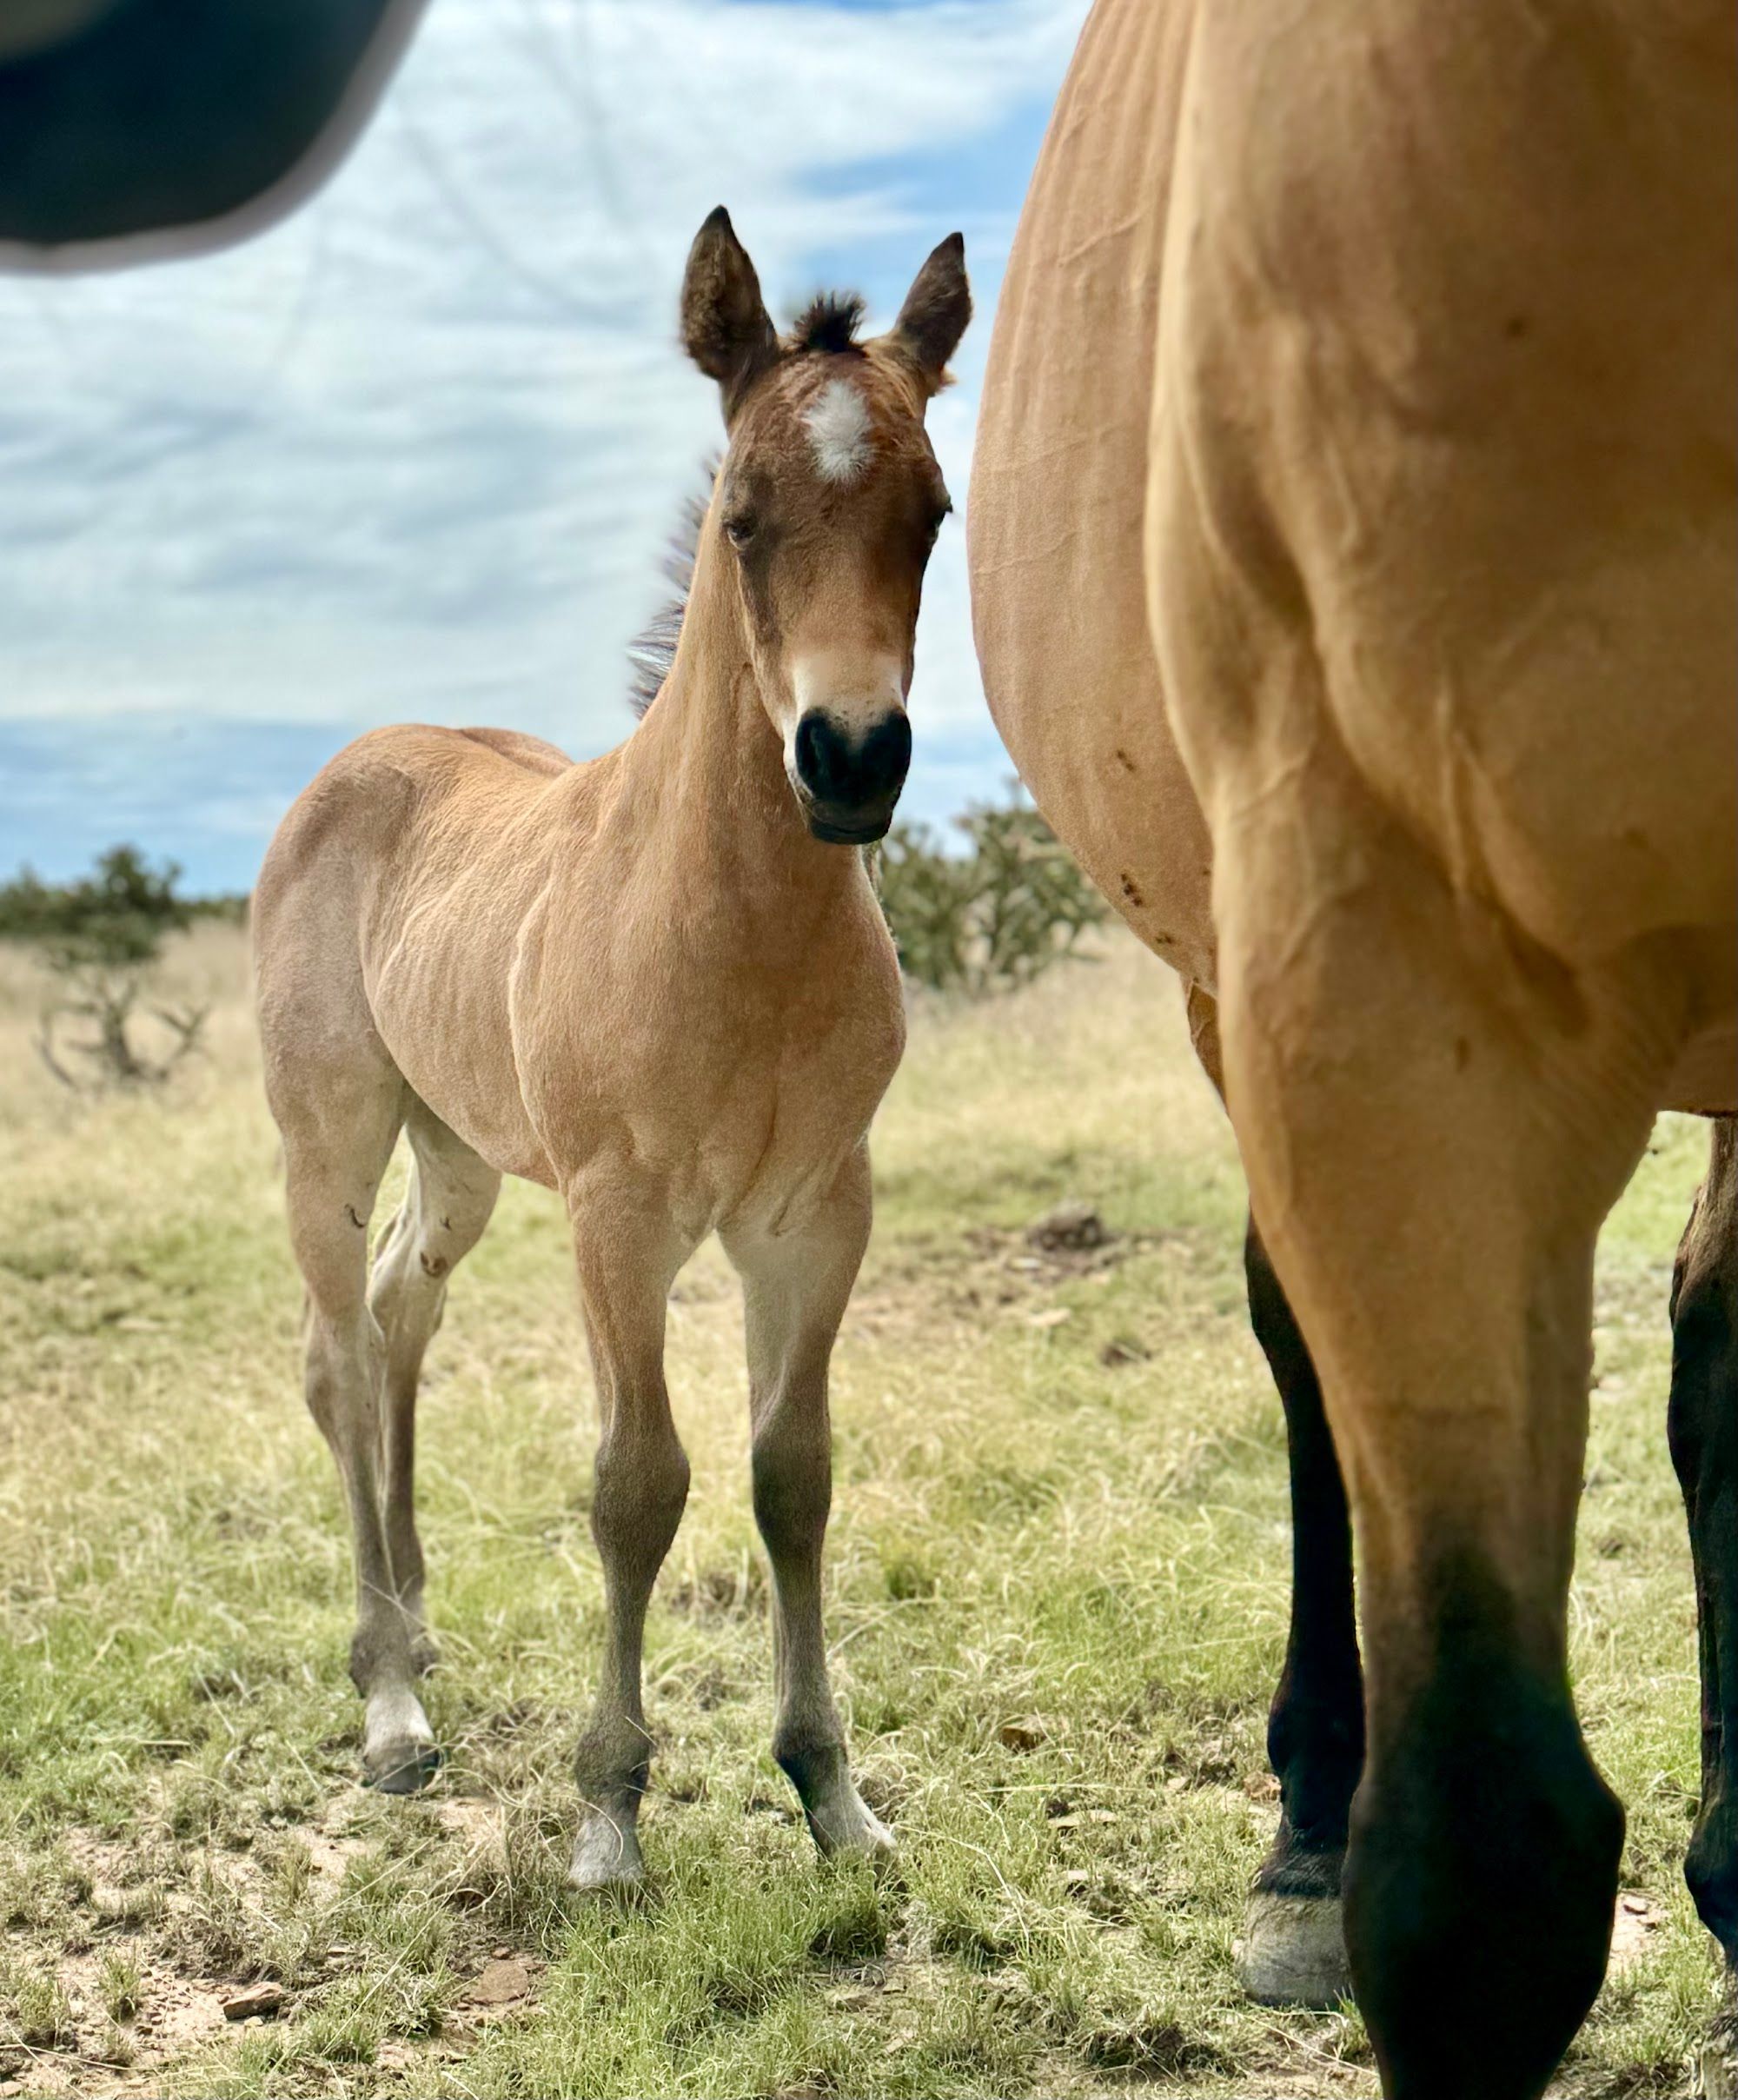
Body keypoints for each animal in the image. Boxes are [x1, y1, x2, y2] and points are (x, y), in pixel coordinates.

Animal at [253, 208, 970, 1893]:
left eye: (932, 514)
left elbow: (792, 1476)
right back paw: (387, 1702)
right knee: (336, 1352)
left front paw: (831, 1792)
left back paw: (422, 1635)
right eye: (740, 520)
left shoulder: (814, 1218)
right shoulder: (618, 1215)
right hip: (331, 1137)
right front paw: (609, 1814)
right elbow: (637, 1484)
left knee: (400, 1316)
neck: (728, 930)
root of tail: (350, 766)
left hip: (457, 1156)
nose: (851, 760)